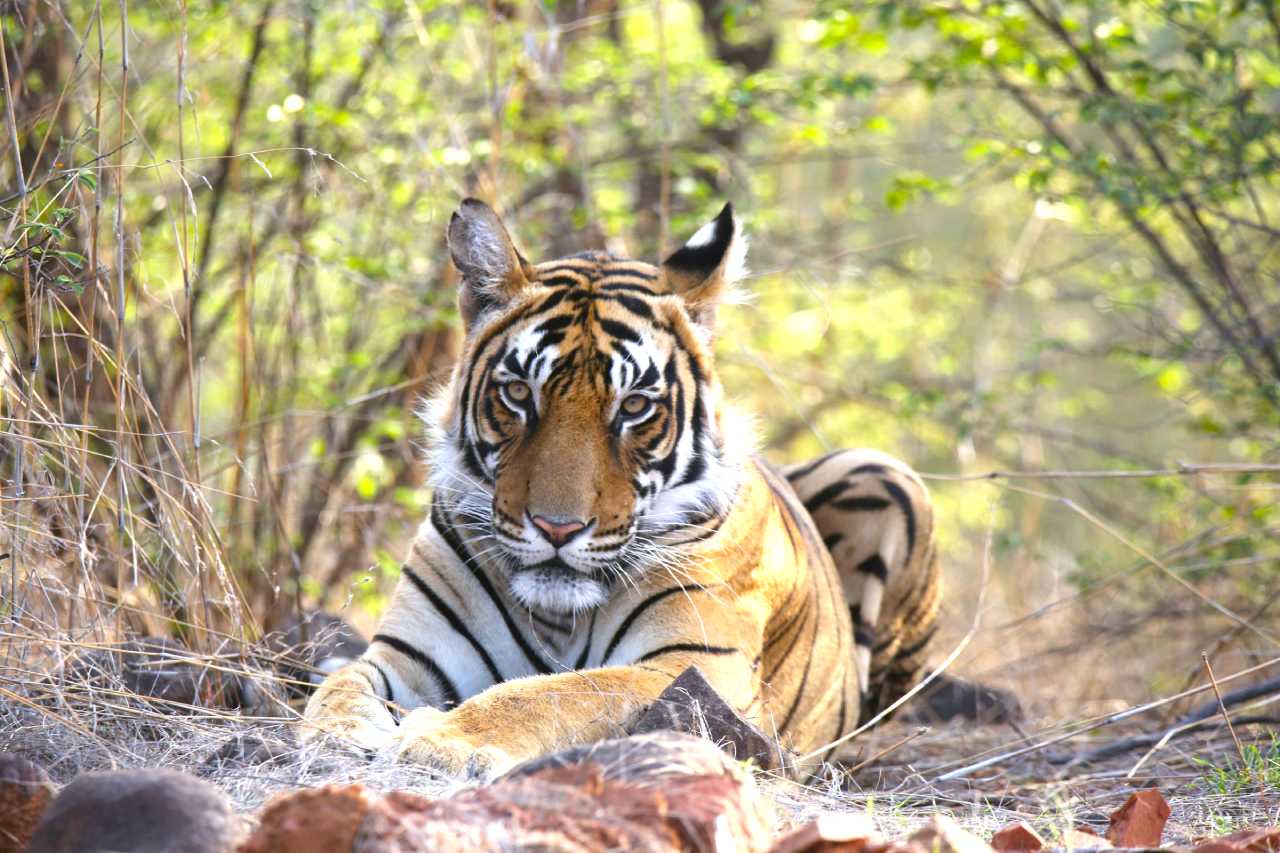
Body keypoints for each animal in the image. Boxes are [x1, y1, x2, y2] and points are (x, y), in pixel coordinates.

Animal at [300, 199, 941, 777]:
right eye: (518, 394)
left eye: (634, 406)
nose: (557, 528)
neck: (557, 616)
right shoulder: (405, 653)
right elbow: (341, 684)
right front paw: (339, 733)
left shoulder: (688, 666)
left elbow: (552, 693)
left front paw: (441, 739)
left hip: (884, 472)